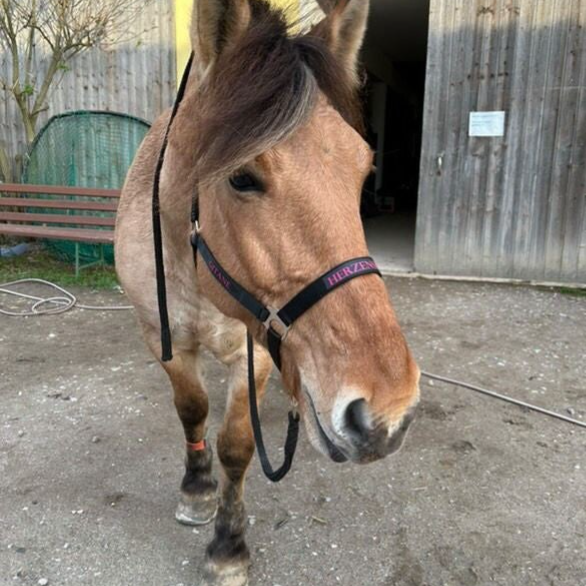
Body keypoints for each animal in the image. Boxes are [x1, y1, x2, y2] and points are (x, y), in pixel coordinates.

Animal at [114, 0, 421, 584]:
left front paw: (228, 546)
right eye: (242, 178)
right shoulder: (160, 337)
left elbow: (236, 445)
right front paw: (197, 492)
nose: (387, 415)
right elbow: (192, 409)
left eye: (363, 170)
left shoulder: (253, 349)